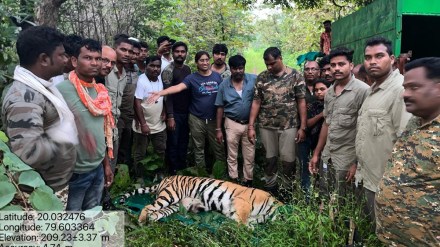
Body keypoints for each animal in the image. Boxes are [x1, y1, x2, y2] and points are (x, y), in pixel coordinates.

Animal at [119, 175, 286, 225]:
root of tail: (166, 178)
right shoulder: (241, 202)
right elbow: (244, 221)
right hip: (170, 195)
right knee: (148, 206)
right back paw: (141, 221)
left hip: (175, 205)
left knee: (157, 211)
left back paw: (152, 219)